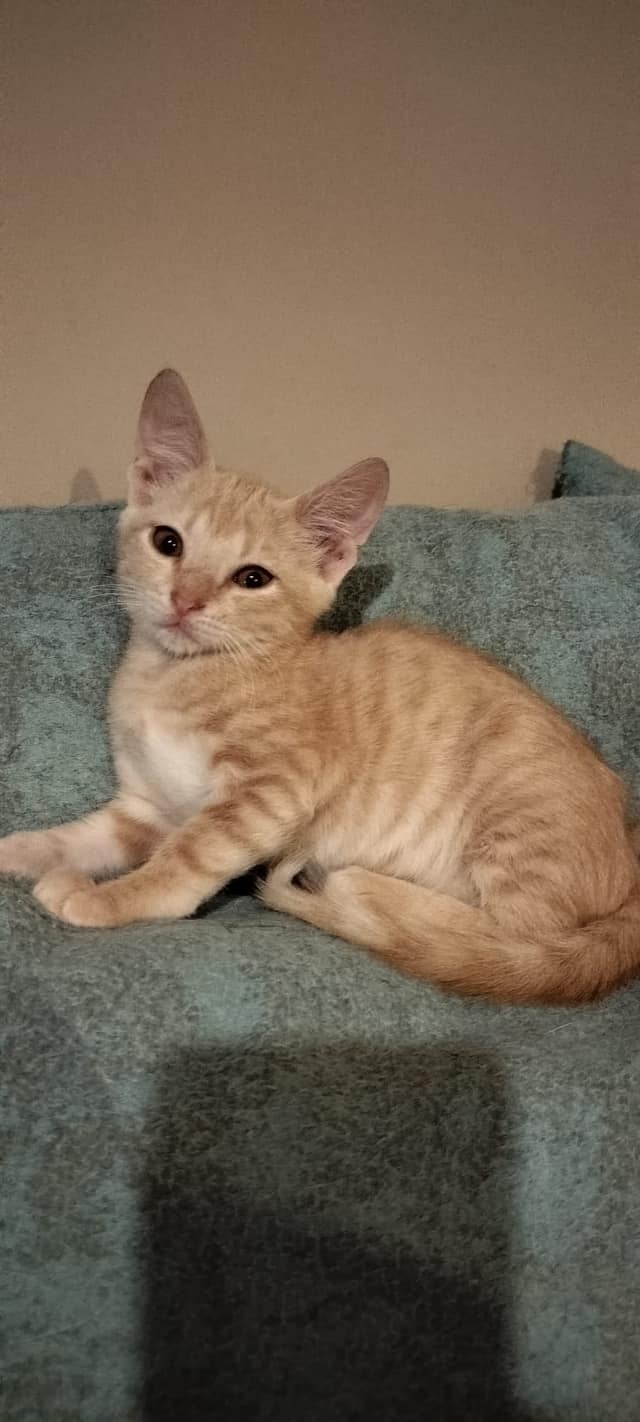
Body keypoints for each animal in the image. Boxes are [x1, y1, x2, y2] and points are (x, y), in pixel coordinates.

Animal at [1, 367, 639, 1003]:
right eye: (168, 542)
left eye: (252, 578)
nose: (186, 600)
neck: (174, 676)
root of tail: (629, 848)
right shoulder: (148, 806)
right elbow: (87, 836)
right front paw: (26, 850)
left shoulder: (272, 790)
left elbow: (186, 857)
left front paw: (109, 897)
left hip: (517, 829)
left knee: (511, 941)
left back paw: (361, 890)